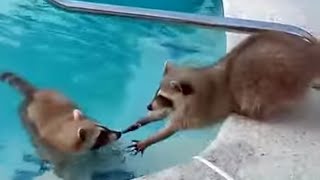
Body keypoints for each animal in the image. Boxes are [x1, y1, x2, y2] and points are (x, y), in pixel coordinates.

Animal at [124, 30, 320, 155]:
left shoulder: (192, 110)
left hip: (278, 80)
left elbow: (171, 129)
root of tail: (309, 54)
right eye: (157, 93)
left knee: (258, 98)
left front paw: (148, 140)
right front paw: (142, 120)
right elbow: (162, 114)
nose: (148, 106)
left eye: (163, 96)